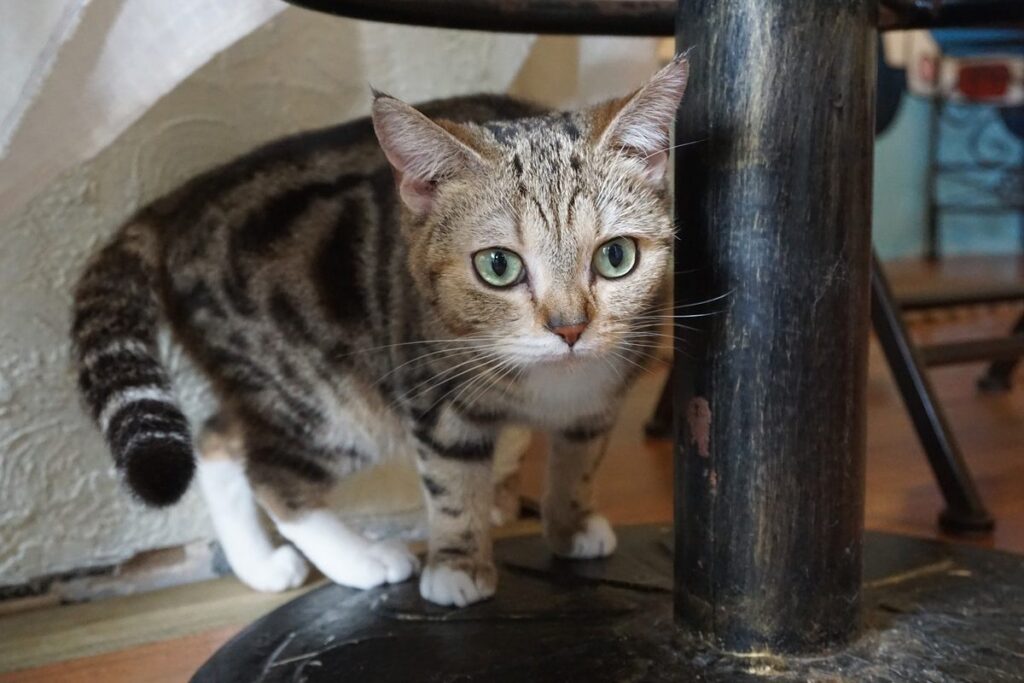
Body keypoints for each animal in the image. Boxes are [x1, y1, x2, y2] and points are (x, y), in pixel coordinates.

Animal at [70, 56, 688, 606]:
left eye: (615, 256)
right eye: (498, 266)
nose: (570, 327)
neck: (552, 382)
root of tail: (185, 201)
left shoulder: (600, 398)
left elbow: (579, 461)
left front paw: (570, 526)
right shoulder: (435, 392)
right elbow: (452, 480)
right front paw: (458, 565)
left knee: (218, 438)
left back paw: (260, 565)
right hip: (323, 393)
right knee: (271, 472)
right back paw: (361, 558)